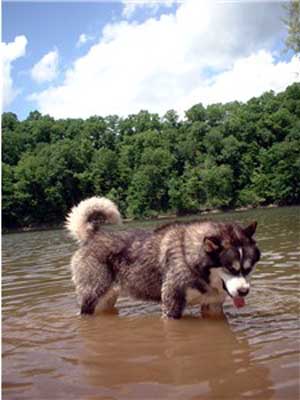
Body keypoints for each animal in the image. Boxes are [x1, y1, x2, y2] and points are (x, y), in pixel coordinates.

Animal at [66, 197, 260, 318]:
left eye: (248, 268)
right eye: (230, 268)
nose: (244, 291)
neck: (189, 260)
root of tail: (94, 235)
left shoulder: (213, 307)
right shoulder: (172, 305)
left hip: (106, 301)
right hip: (92, 296)